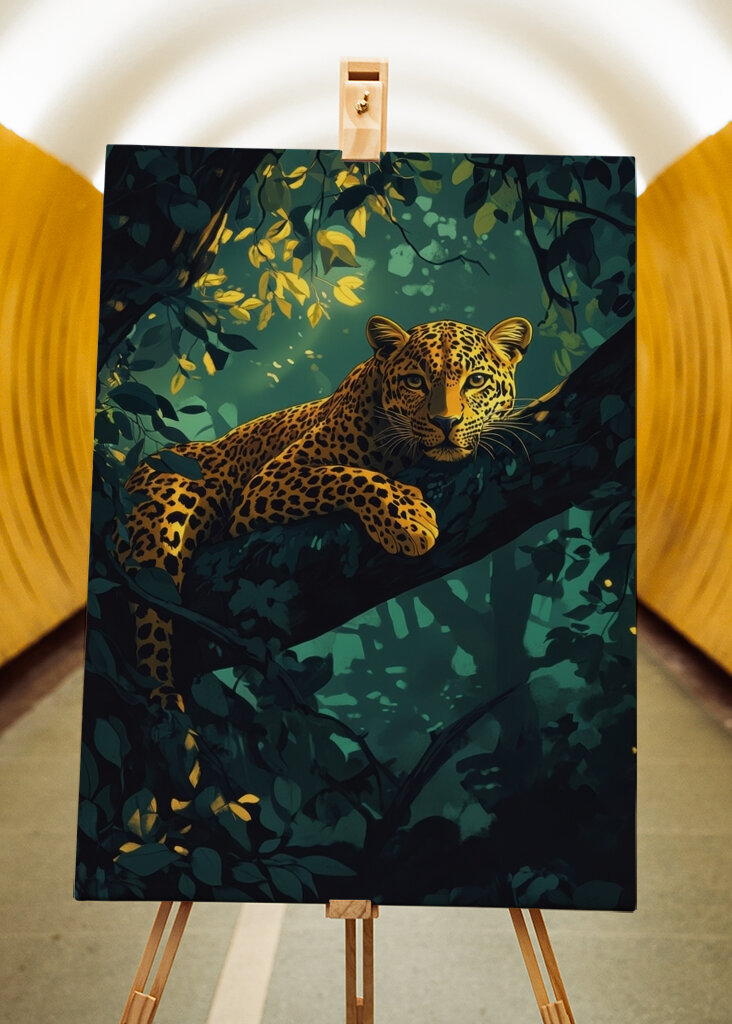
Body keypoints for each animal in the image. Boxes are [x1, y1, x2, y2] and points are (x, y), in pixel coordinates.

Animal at [116, 313, 532, 702]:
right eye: (416, 381)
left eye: (476, 381)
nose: (446, 422)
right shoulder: (268, 482)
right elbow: (347, 475)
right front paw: (408, 520)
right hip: (166, 517)